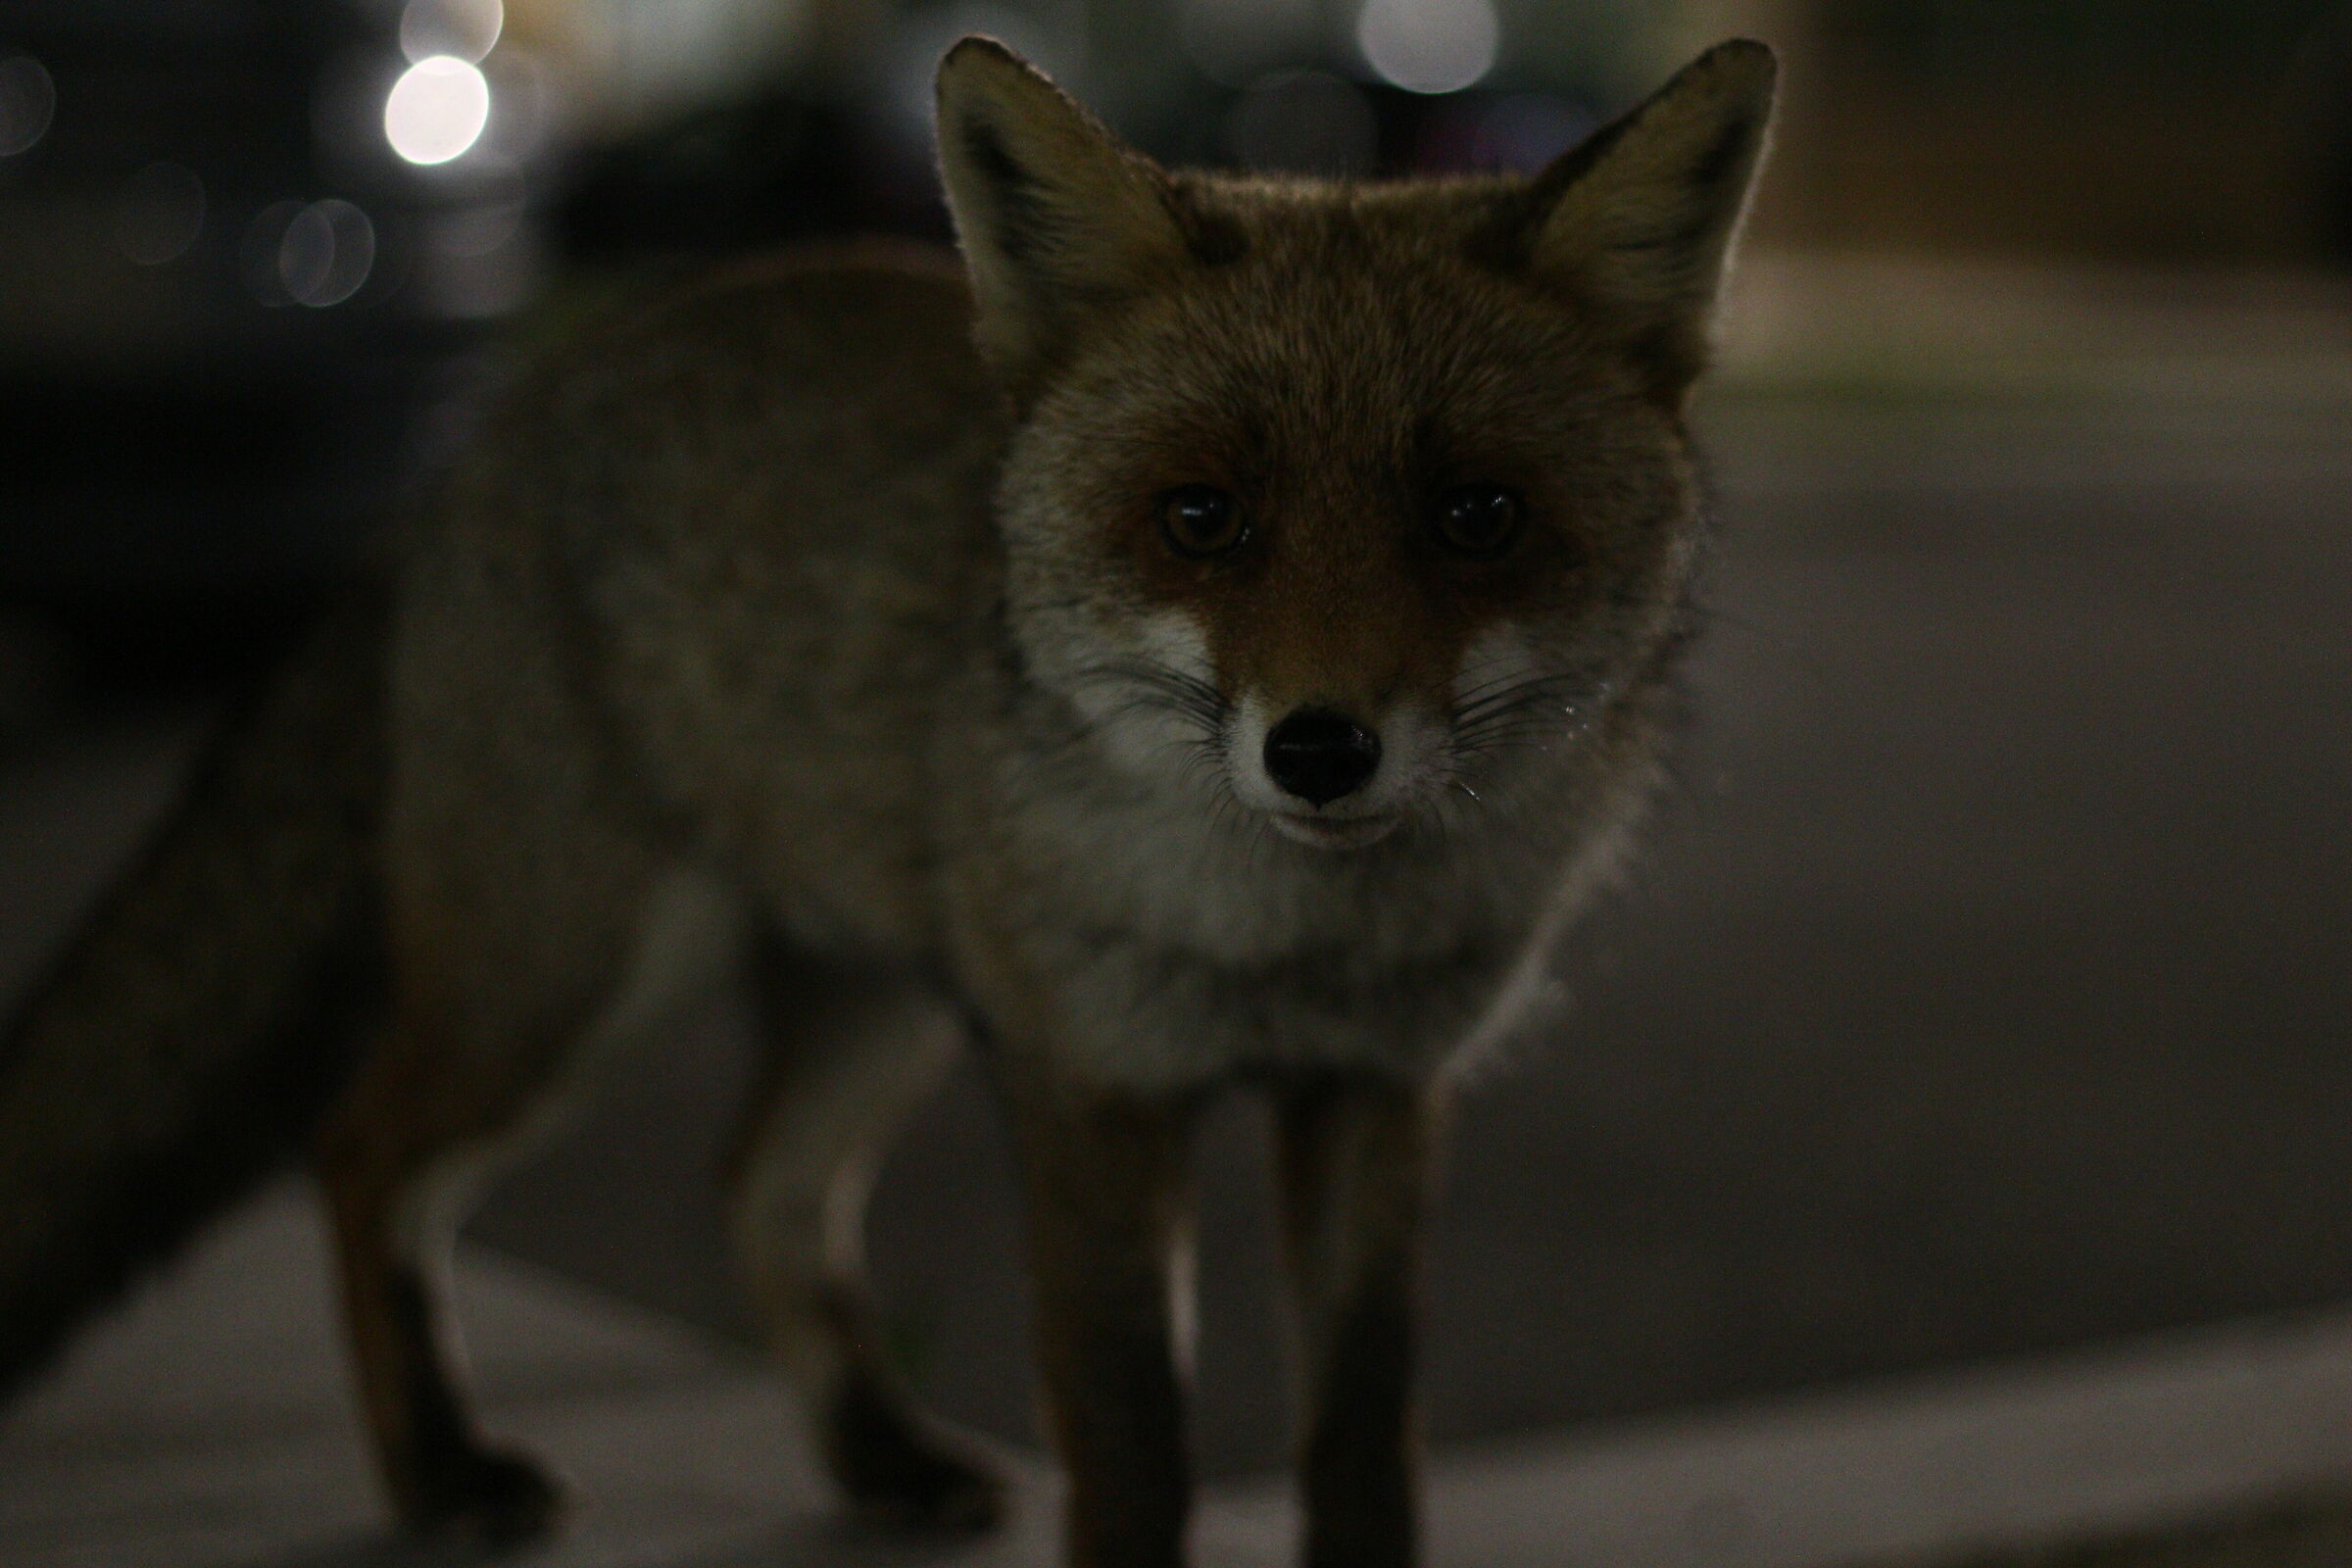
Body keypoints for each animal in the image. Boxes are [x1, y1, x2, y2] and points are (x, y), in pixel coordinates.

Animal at [0, 34, 1774, 1568]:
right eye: (1201, 518)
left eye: (1477, 516)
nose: (1321, 750)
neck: (1292, 944)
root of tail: (488, 435)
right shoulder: (1088, 1085)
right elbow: (1133, 1443)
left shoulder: (1374, 1093)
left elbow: (1362, 1445)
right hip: (573, 981)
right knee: (363, 1152)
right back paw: (442, 1471)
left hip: (882, 995)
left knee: (758, 1192)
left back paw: (879, 1456)